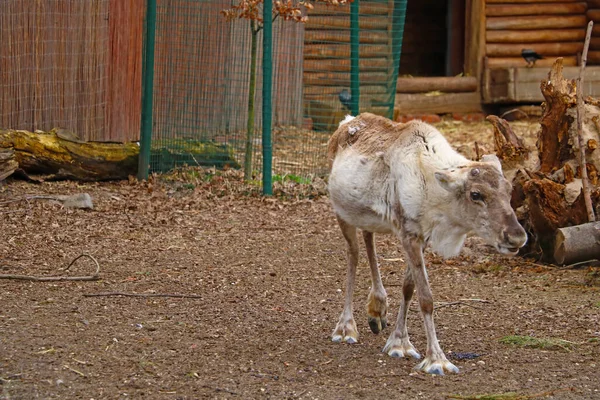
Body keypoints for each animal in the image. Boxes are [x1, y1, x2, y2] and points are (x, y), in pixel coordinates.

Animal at [326, 111, 528, 376]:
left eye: (509, 189)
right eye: (476, 194)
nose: (517, 237)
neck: (434, 196)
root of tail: (346, 122)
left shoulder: (421, 237)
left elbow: (408, 288)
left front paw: (399, 342)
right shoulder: (409, 234)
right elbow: (426, 298)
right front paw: (436, 359)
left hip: (367, 214)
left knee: (368, 239)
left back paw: (377, 308)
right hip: (341, 211)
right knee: (354, 253)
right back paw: (345, 328)